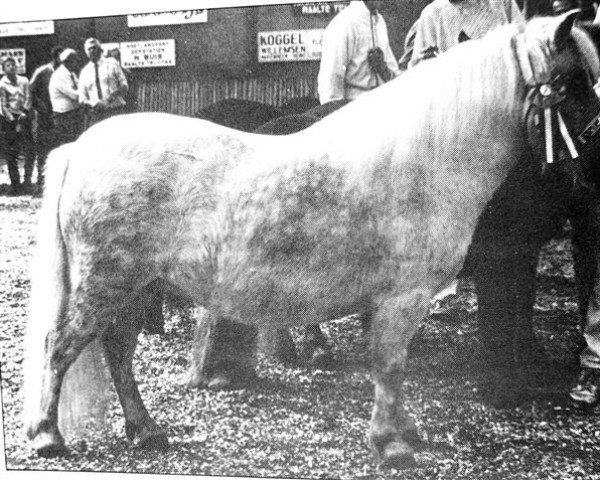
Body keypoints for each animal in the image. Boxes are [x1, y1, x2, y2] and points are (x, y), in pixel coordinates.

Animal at [184, 25, 600, 408]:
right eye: (572, 82)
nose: (594, 158)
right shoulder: (498, 254)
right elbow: (500, 315)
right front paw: (503, 389)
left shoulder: (524, 249)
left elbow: (522, 308)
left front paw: (531, 363)